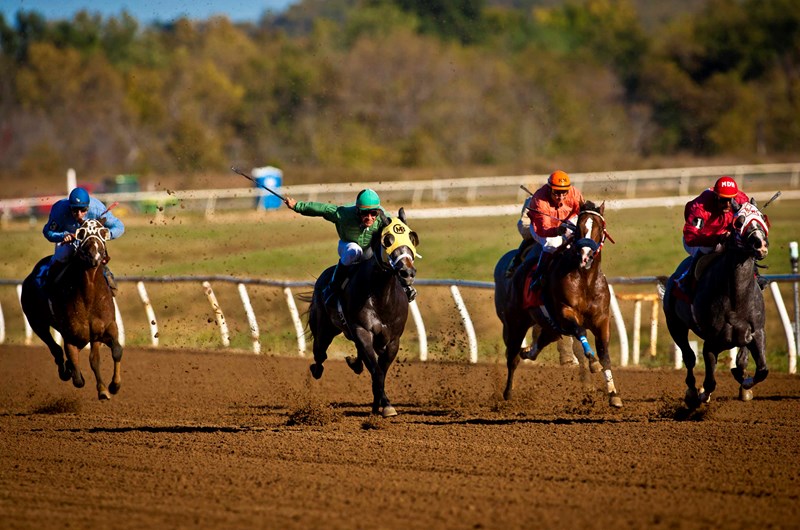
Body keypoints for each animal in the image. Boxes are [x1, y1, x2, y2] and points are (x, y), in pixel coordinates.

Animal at [19, 218, 123, 396]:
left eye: (103, 231)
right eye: (81, 232)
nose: (94, 255)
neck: (89, 297)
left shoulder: (107, 328)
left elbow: (115, 351)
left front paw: (112, 386)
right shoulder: (71, 337)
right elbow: (78, 378)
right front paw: (72, 372)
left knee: (92, 358)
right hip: (36, 322)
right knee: (55, 349)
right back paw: (65, 370)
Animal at [304, 206, 418, 416]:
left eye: (411, 238)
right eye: (388, 240)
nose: (407, 273)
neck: (381, 296)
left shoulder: (392, 340)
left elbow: (381, 370)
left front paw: (379, 404)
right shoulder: (362, 331)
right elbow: (376, 370)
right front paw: (385, 404)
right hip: (324, 329)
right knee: (320, 354)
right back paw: (316, 369)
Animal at [490, 200, 620, 406]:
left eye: (600, 228)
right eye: (579, 228)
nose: (585, 256)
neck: (585, 280)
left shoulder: (601, 320)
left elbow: (605, 355)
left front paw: (613, 394)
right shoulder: (565, 313)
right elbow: (581, 332)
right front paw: (592, 362)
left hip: (550, 326)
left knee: (538, 343)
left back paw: (527, 351)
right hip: (515, 323)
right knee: (512, 357)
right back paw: (508, 392)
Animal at [664, 196, 768, 406]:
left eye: (761, 216)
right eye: (739, 222)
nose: (760, 244)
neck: (737, 297)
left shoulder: (757, 332)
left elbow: (761, 370)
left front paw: (744, 383)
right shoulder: (711, 341)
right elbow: (710, 380)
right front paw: (703, 394)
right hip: (675, 325)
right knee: (689, 357)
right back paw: (692, 391)